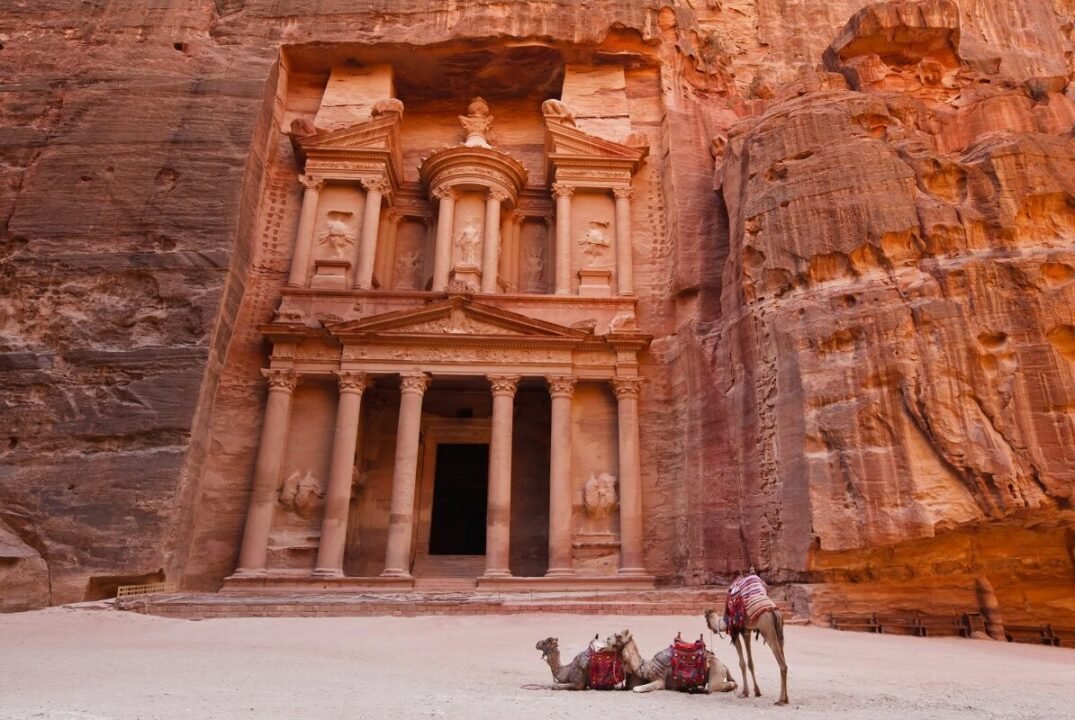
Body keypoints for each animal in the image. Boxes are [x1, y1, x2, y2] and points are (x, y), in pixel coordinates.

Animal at [606, 631, 739, 692]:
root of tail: (723, 664)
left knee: (713, 687)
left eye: (618, 636)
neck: (647, 668)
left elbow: (636, 688)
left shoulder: (660, 680)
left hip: (716, 669)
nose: (607, 638)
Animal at [705, 576, 791, 704]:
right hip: (780, 630)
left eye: (706, 619)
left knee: (782, 664)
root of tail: (774, 611)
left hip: (767, 629)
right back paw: (786, 699)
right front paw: (757, 692)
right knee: (783, 654)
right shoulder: (746, 632)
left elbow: (742, 663)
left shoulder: (735, 631)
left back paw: (780, 700)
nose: (712, 629)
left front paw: (744, 693)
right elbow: (750, 663)